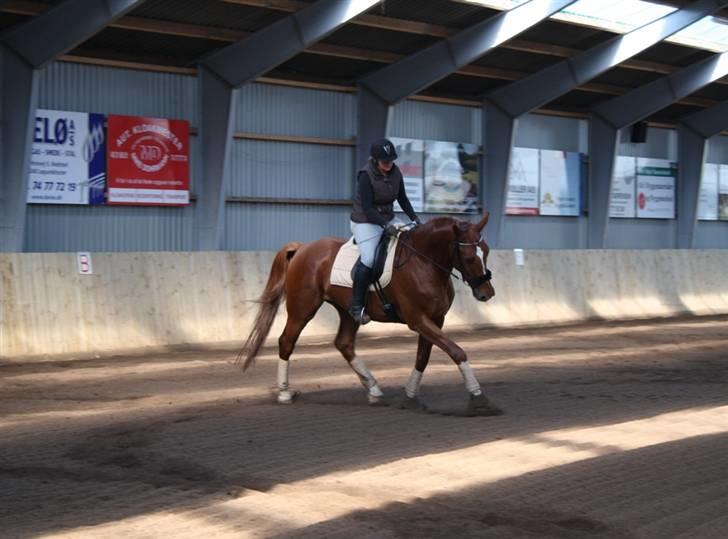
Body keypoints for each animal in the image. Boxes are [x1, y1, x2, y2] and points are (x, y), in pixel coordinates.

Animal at [236, 213, 504, 416]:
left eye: (486, 251)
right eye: (469, 257)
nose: (486, 293)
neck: (424, 262)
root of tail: (302, 248)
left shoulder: (435, 319)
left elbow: (423, 358)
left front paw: (410, 396)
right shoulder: (418, 320)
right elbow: (456, 351)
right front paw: (478, 398)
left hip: (347, 312)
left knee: (344, 343)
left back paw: (374, 390)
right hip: (302, 309)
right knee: (286, 341)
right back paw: (284, 393)